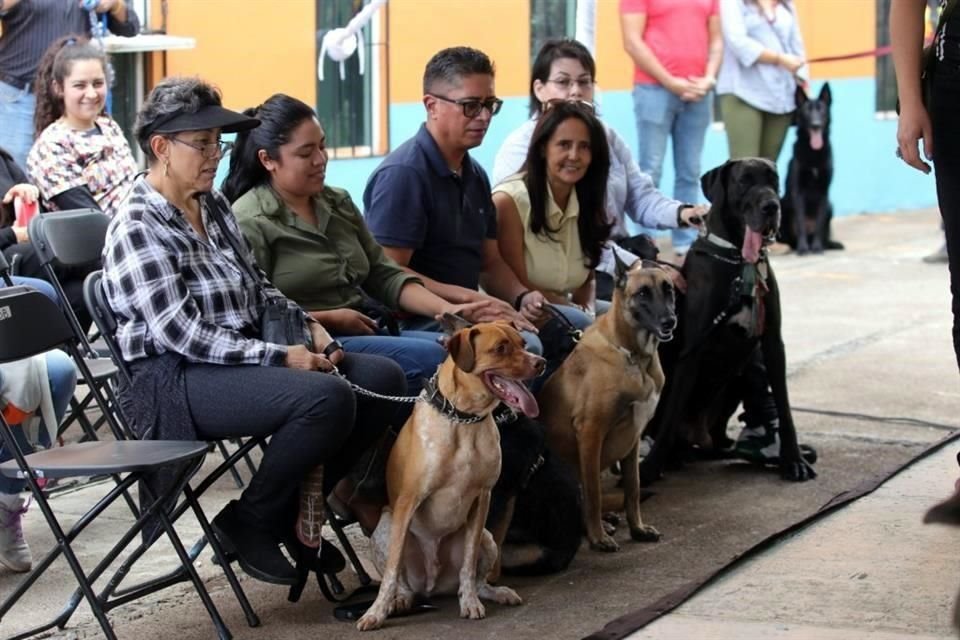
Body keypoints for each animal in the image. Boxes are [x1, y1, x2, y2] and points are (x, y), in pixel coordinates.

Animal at [356, 320, 544, 632]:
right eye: (500, 348)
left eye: (523, 344)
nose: (541, 363)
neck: (464, 419)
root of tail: (432, 585)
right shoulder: (408, 501)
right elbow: (392, 573)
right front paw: (376, 611)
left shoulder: (483, 498)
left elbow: (468, 566)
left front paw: (469, 603)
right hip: (385, 527)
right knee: (402, 581)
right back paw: (400, 600)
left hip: (488, 539)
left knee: (476, 579)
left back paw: (496, 592)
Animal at [540, 255, 676, 552]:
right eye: (642, 294)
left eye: (668, 290)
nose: (670, 321)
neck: (635, 356)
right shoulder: (591, 433)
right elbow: (593, 493)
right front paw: (598, 537)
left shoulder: (633, 438)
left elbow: (632, 488)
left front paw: (637, 528)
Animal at [640, 159, 812, 484]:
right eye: (744, 181)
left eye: (774, 179)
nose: (771, 206)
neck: (738, 263)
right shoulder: (692, 350)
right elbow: (670, 414)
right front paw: (651, 468)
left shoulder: (772, 342)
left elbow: (784, 407)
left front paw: (793, 459)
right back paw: (669, 456)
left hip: (741, 372)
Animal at [780, 82, 840, 255]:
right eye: (807, 111)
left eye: (821, 110)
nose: (816, 125)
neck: (813, 153)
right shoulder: (798, 192)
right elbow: (800, 222)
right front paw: (803, 248)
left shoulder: (824, 193)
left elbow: (819, 223)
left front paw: (817, 247)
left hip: (830, 206)